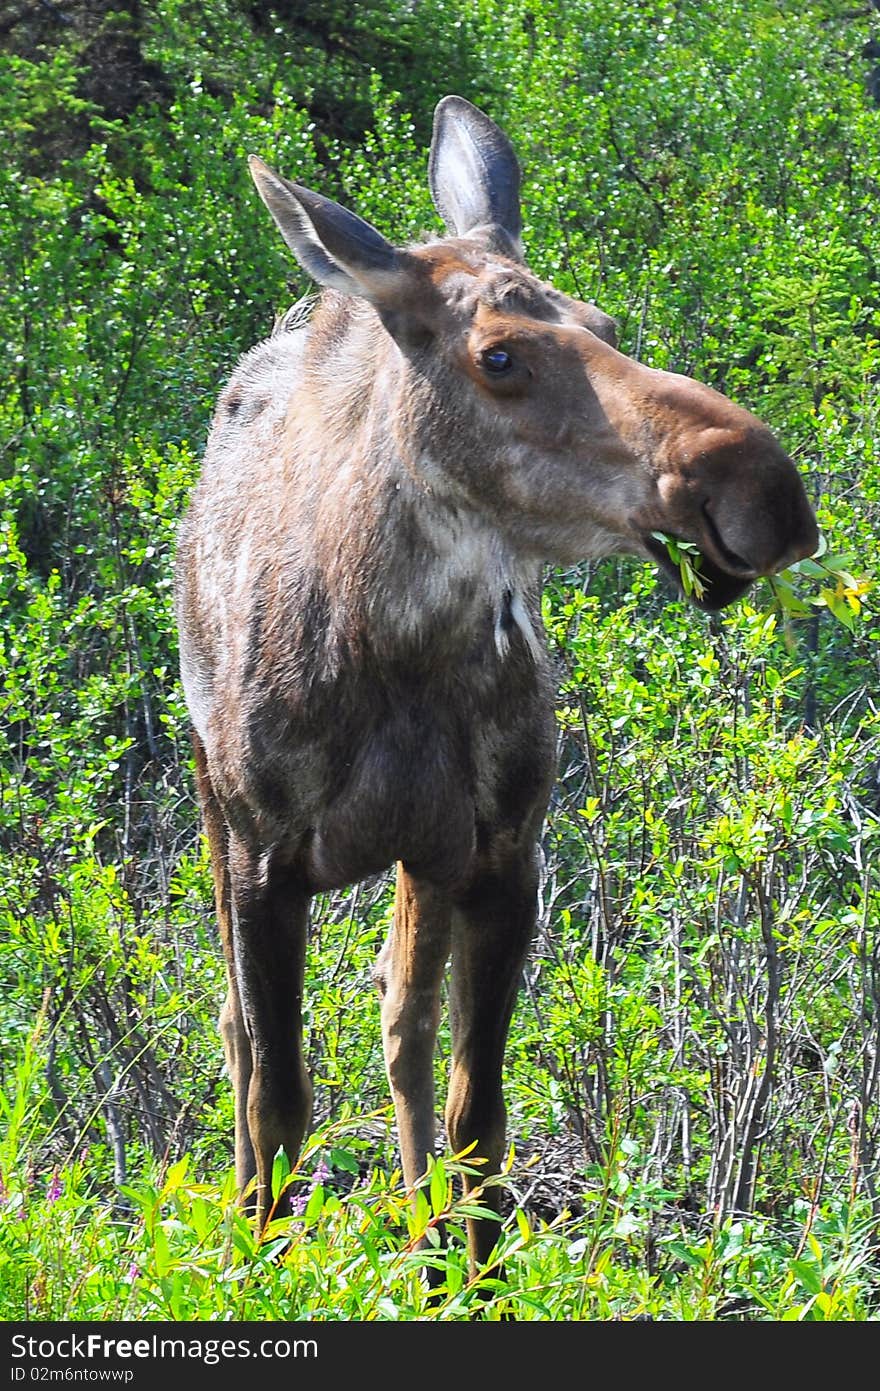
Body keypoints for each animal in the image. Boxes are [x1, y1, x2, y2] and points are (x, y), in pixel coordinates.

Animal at [173, 92, 817, 1274]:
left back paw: (420, 1237)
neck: (398, 651)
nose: (763, 489)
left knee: (402, 1020)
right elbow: (276, 1098)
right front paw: (257, 1258)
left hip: (422, 855)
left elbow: (478, 1125)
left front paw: (463, 1272)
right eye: (502, 355)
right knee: (249, 1039)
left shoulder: (502, 850)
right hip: (210, 791)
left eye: (605, 321)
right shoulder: (264, 856)